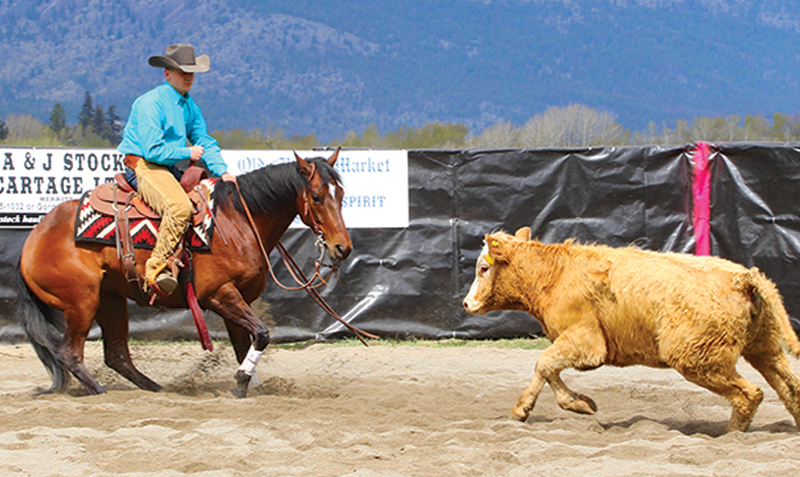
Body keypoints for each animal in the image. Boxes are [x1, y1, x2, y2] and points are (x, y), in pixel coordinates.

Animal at [16, 149, 352, 398]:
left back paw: (157, 390)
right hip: (82, 302)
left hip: (110, 300)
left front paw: (245, 385)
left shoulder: (238, 299)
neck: (239, 219)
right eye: (317, 197)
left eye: (341, 195)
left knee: (117, 355)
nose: (343, 247)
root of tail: (33, 239)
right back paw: (100, 392)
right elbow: (262, 334)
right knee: (69, 353)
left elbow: (246, 344)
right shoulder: (219, 295)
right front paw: (241, 380)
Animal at [463, 227, 800, 433]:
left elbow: (544, 364)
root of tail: (744, 278)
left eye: (484, 268)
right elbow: (544, 370)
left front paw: (578, 404)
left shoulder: (586, 343)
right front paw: (522, 410)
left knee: (749, 395)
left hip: (698, 359)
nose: (467, 303)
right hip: (765, 350)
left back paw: (732, 436)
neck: (554, 275)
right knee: (790, 389)